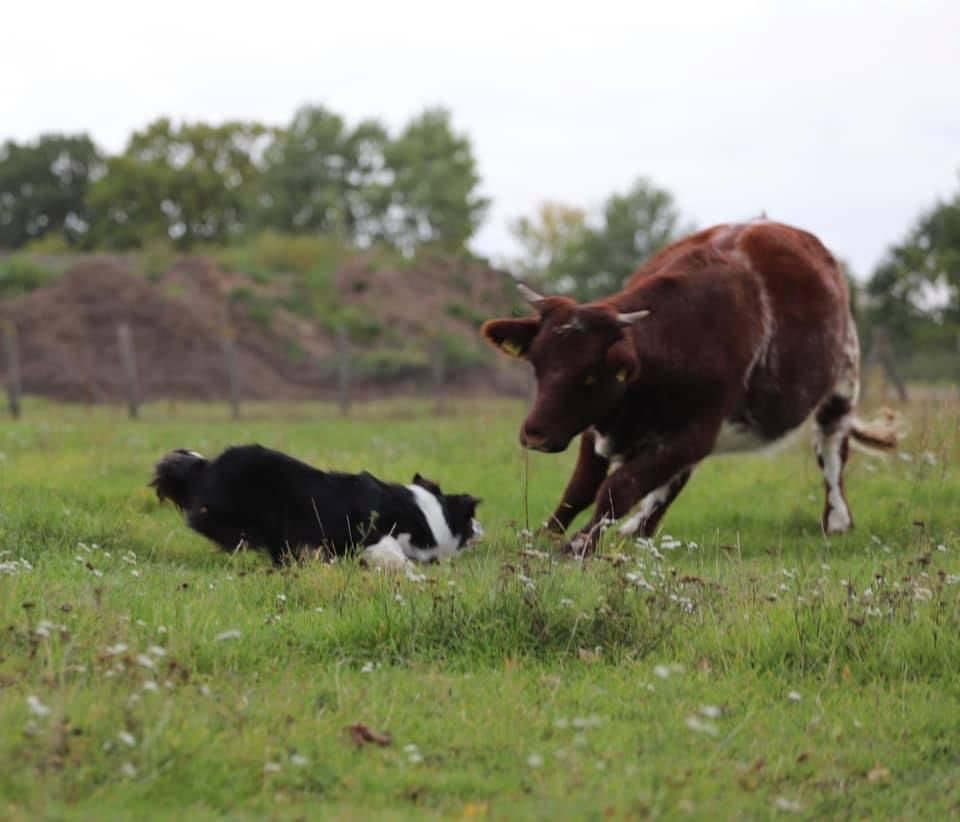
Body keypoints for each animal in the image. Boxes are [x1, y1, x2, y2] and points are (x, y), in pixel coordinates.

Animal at [481, 220, 898, 555]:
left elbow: (619, 486)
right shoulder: (599, 426)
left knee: (832, 448)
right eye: (538, 365)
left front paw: (580, 545)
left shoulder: (694, 432)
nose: (534, 434)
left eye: (588, 375)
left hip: (842, 385)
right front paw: (541, 535)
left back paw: (838, 520)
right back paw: (640, 530)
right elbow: (580, 488)